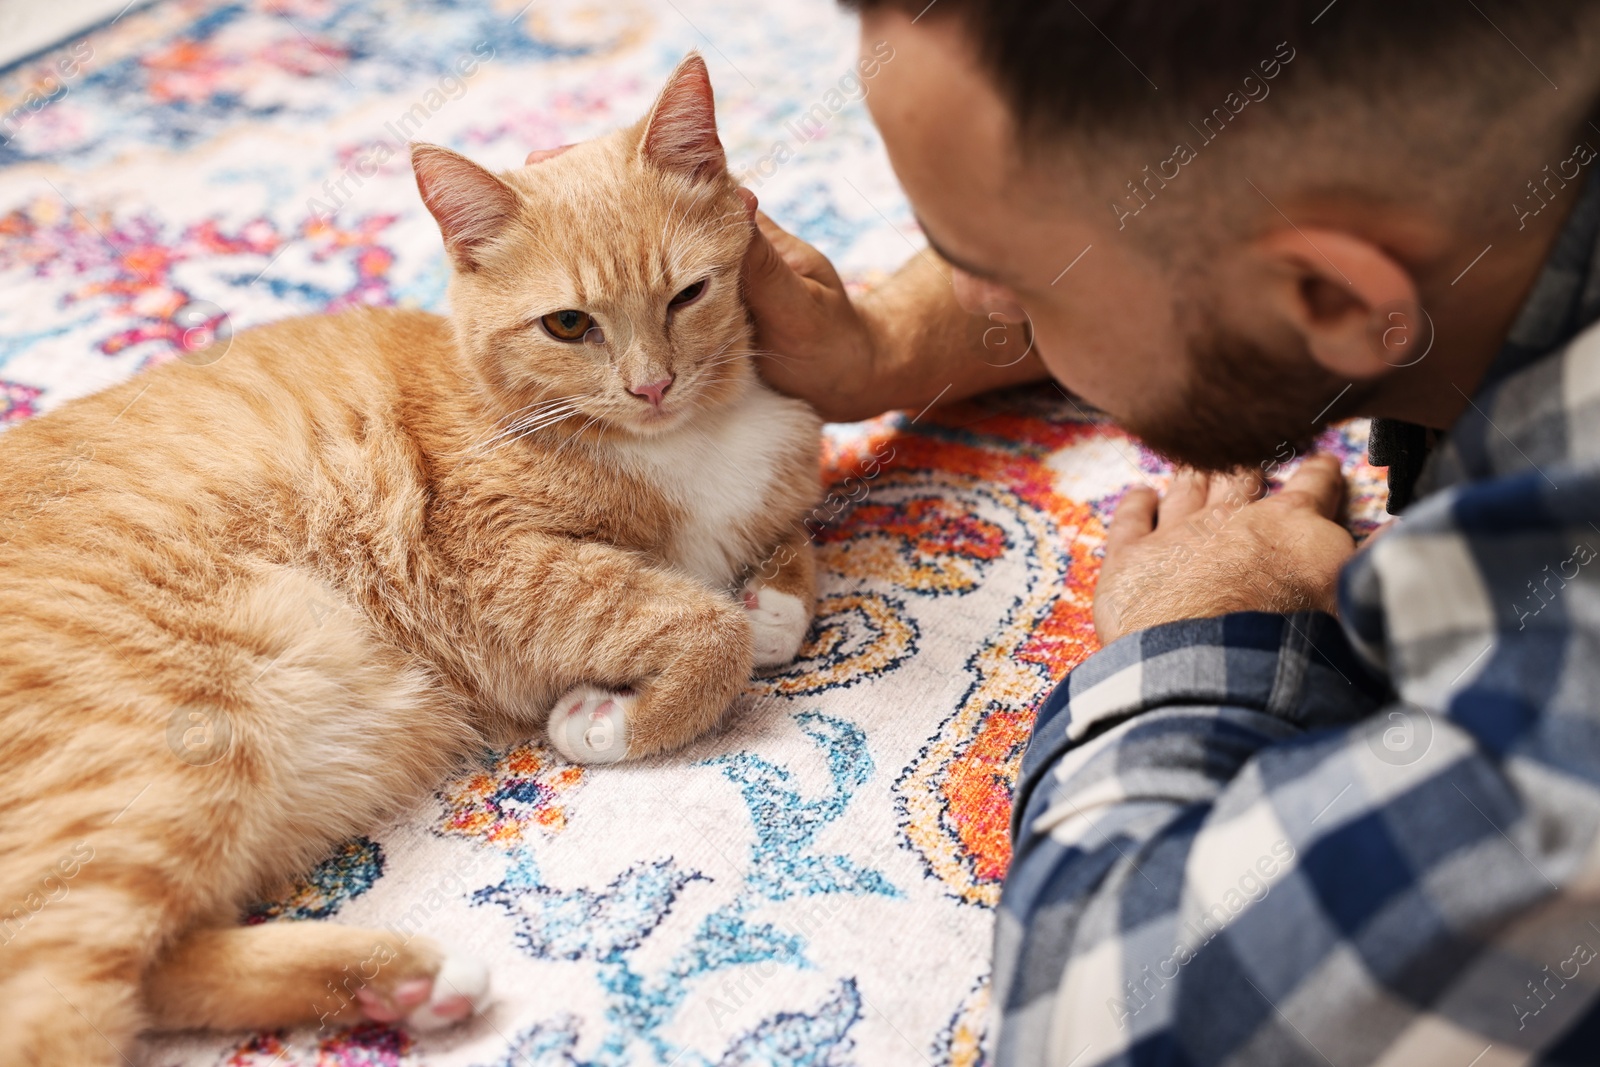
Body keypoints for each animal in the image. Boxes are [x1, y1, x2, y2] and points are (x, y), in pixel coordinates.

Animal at [0, 54, 819, 1062]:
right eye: (568, 326)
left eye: (687, 296)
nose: (652, 385)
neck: (682, 440)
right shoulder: (495, 565)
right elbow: (702, 629)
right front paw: (614, 719)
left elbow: (785, 573)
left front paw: (769, 601)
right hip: (147, 760)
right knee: (52, 998)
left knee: (158, 968)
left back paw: (400, 983)